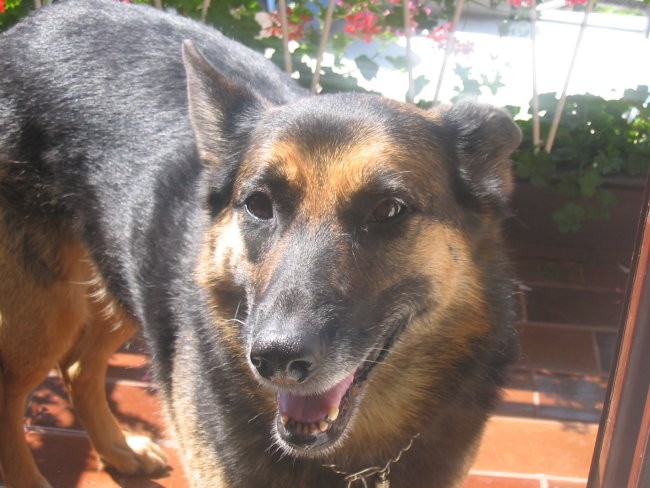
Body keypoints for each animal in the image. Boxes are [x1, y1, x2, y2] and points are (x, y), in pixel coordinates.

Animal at [0, 1, 521, 487]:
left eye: (389, 209)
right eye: (258, 204)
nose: (277, 359)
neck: (350, 459)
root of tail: (33, 23)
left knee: (76, 368)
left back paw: (119, 451)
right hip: (41, 321)